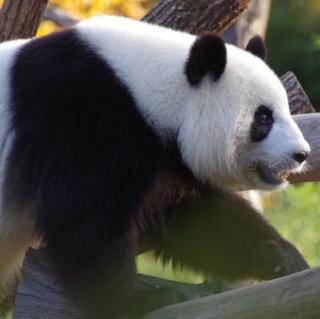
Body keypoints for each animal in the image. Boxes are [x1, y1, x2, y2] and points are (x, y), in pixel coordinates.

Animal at [0, 15, 312, 319]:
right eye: (263, 118)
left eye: (285, 109)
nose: (301, 154)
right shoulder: (84, 121)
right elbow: (84, 220)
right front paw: (141, 299)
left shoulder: (165, 163)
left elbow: (197, 220)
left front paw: (281, 257)